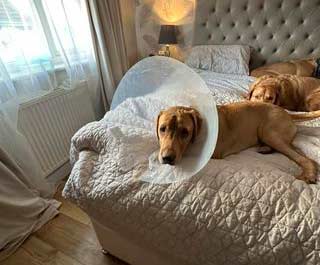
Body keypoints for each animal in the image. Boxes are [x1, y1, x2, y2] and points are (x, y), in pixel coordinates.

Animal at [157, 102, 320, 183]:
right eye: (162, 129)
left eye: (185, 132)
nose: (167, 158)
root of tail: (287, 113)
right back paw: (265, 149)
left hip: (269, 132)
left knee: (304, 158)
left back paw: (309, 173)